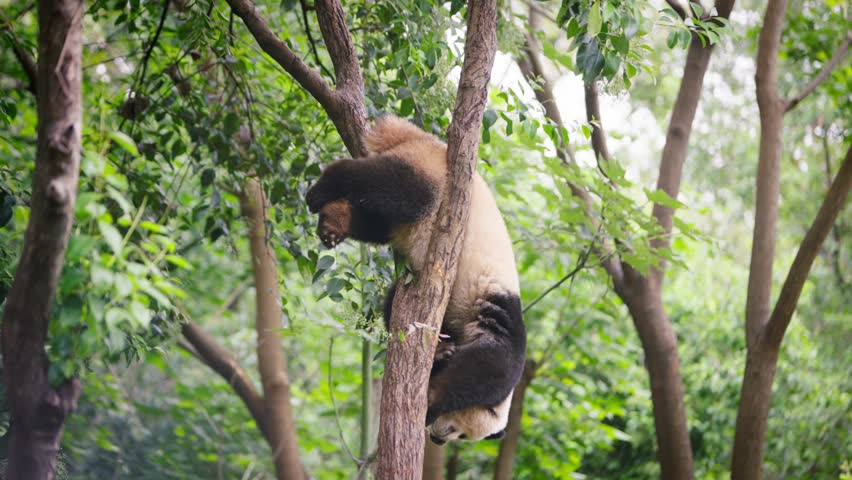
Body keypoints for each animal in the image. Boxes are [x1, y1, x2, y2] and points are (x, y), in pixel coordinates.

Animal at [306, 116, 526, 444]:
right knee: (392, 186)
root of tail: (430, 140)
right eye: (461, 433)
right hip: (432, 177)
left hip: (402, 212)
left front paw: (441, 354)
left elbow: (394, 303)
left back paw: (333, 224)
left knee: (374, 221)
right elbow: (490, 363)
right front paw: (436, 396)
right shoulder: (501, 316)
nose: (437, 439)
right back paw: (322, 189)